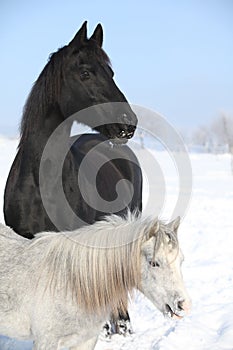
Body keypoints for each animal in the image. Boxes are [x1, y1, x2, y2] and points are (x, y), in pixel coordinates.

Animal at [0, 215, 191, 348]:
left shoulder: (85, 341)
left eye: (181, 260)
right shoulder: (46, 341)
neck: (71, 283)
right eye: (154, 263)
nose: (184, 304)